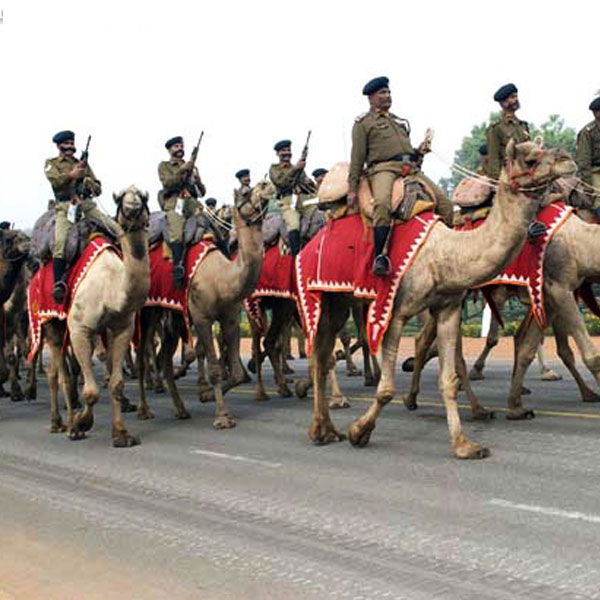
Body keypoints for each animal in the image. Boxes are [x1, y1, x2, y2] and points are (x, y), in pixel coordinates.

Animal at [42, 188, 150, 446]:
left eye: (144, 196)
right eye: (120, 197)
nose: (132, 204)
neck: (111, 287)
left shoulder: (121, 328)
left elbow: (117, 384)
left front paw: (121, 434)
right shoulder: (79, 328)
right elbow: (90, 391)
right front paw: (81, 424)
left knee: (55, 372)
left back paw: (59, 422)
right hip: (52, 322)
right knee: (61, 376)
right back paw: (65, 425)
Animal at [136, 178, 270, 426]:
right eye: (246, 192)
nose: (267, 185)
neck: (222, 279)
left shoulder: (230, 318)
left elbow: (237, 373)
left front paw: (206, 395)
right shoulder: (201, 318)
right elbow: (214, 368)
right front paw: (222, 417)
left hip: (173, 316)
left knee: (164, 360)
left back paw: (180, 409)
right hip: (148, 310)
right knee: (143, 355)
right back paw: (144, 409)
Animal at [308, 139, 576, 460]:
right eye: (530, 160)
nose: (567, 159)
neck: (444, 254)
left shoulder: (447, 308)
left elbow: (448, 380)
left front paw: (465, 445)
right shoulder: (395, 311)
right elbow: (386, 389)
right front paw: (359, 432)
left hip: (339, 300)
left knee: (323, 352)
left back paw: (327, 428)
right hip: (322, 292)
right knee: (318, 353)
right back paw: (320, 428)